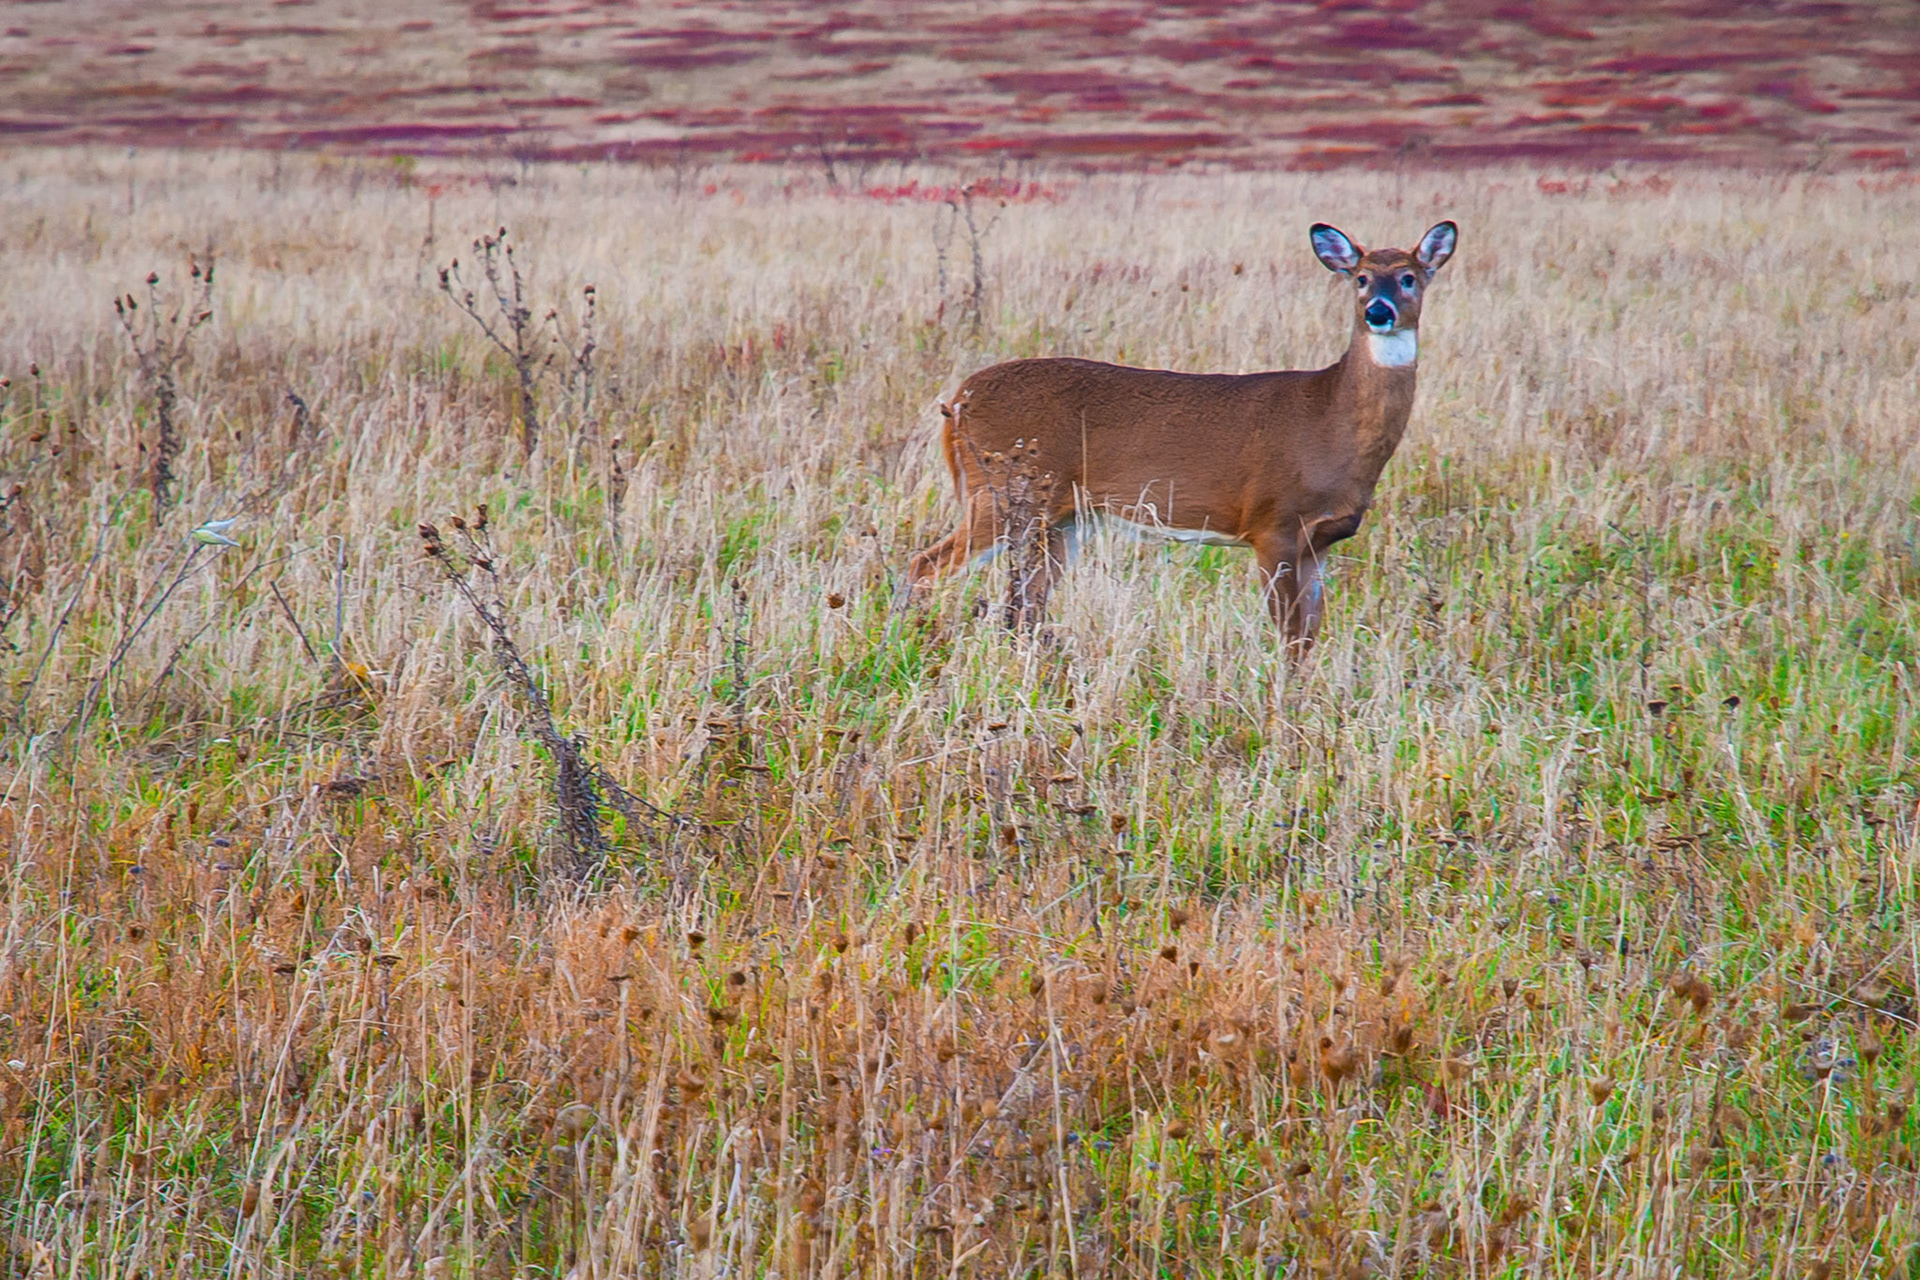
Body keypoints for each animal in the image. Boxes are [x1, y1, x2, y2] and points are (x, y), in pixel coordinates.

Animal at [903, 220, 1457, 652]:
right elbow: (1287, 637)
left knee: (1024, 606)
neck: (1329, 420)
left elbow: (1308, 637)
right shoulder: (1272, 524)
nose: (1379, 311)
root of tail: (958, 400)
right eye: (1360, 278)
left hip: (1060, 517)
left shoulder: (1318, 542)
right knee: (925, 566)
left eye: (1408, 277)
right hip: (1002, 491)